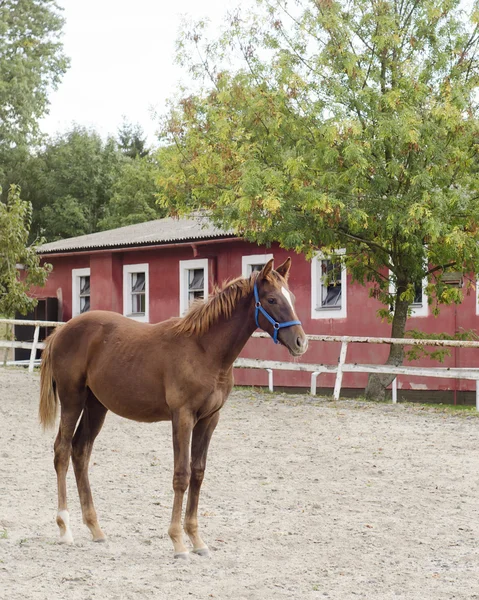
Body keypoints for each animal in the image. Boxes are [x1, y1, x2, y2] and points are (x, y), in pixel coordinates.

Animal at [37, 258, 308, 556]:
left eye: (292, 298)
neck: (204, 350)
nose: (300, 342)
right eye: (272, 299)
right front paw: (178, 541)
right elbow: (182, 474)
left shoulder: (209, 419)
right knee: (62, 451)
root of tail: (61, 331)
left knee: (80, 452)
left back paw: (96, 529)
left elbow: (198, 473)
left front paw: (197, 540)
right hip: (72, 400)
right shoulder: (183, 417)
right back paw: (65, 528)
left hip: (96, 406)